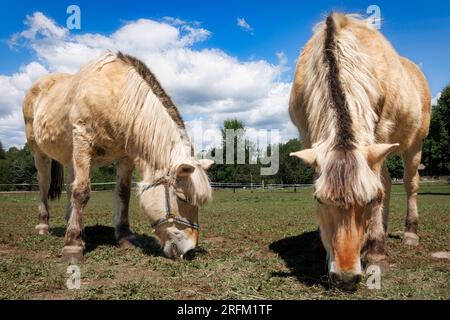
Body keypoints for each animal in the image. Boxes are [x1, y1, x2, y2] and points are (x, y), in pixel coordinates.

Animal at [22, 52, 215, 262]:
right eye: (182, 199)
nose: (190, 252)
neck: (116, 97)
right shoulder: (83, 141)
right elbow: (81, 192)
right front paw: (72, 245)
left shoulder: (125, 158)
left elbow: (122, 193)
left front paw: (124, 237)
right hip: (40, 153)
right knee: (44, 184)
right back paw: (44, 226)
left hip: (70, 158)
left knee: (69, 187)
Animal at [290, 14, 430, 290]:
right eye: (319, 200)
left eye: (368, 200)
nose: (345, 278)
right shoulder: (307, 136)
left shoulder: (381, 132)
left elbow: (381, 188)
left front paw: (376, 252)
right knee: (388, 182)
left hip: (414, 143)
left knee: (409, 184)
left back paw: (408, 234)